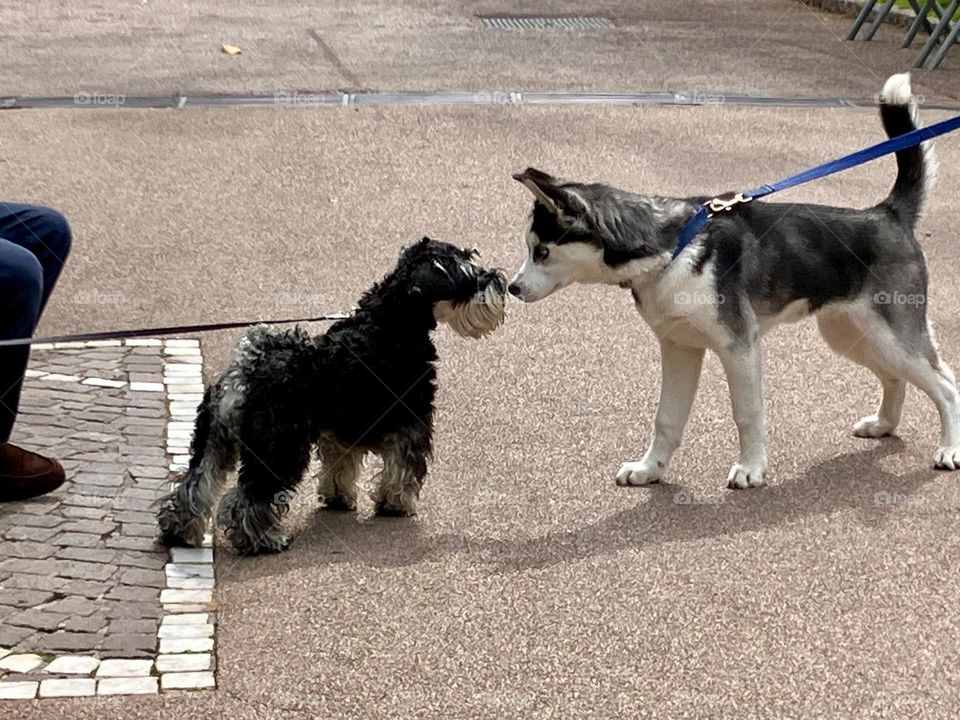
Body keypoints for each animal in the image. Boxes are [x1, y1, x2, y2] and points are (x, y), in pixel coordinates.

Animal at [156, 239, 510, 556]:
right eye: (468, 275)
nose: (500, 281)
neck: (390, 326)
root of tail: (244, 372)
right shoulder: (412, 423)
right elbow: (402, 470)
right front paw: (396, 504)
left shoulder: (340, 432)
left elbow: (340, 466)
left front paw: (339, 498)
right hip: (280, 452)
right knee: (247, 499)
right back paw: (263, 541)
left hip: (213, 443)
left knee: (193, 486)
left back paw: (179, 531)